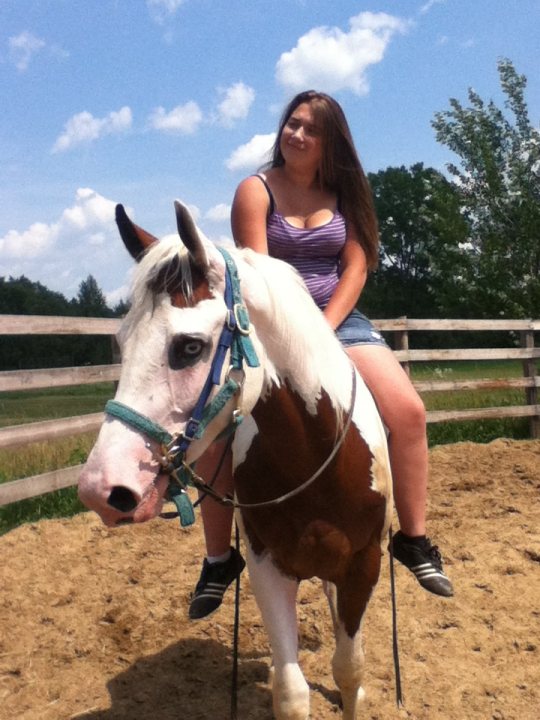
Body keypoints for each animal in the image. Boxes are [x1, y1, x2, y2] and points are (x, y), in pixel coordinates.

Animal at [78, 201, 393, 720]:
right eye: (122, 344)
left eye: (189, 346)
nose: (102, 489)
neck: (314, 462)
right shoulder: (268, 568)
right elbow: (291, 691)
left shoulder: (362, 566)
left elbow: (350, 671)